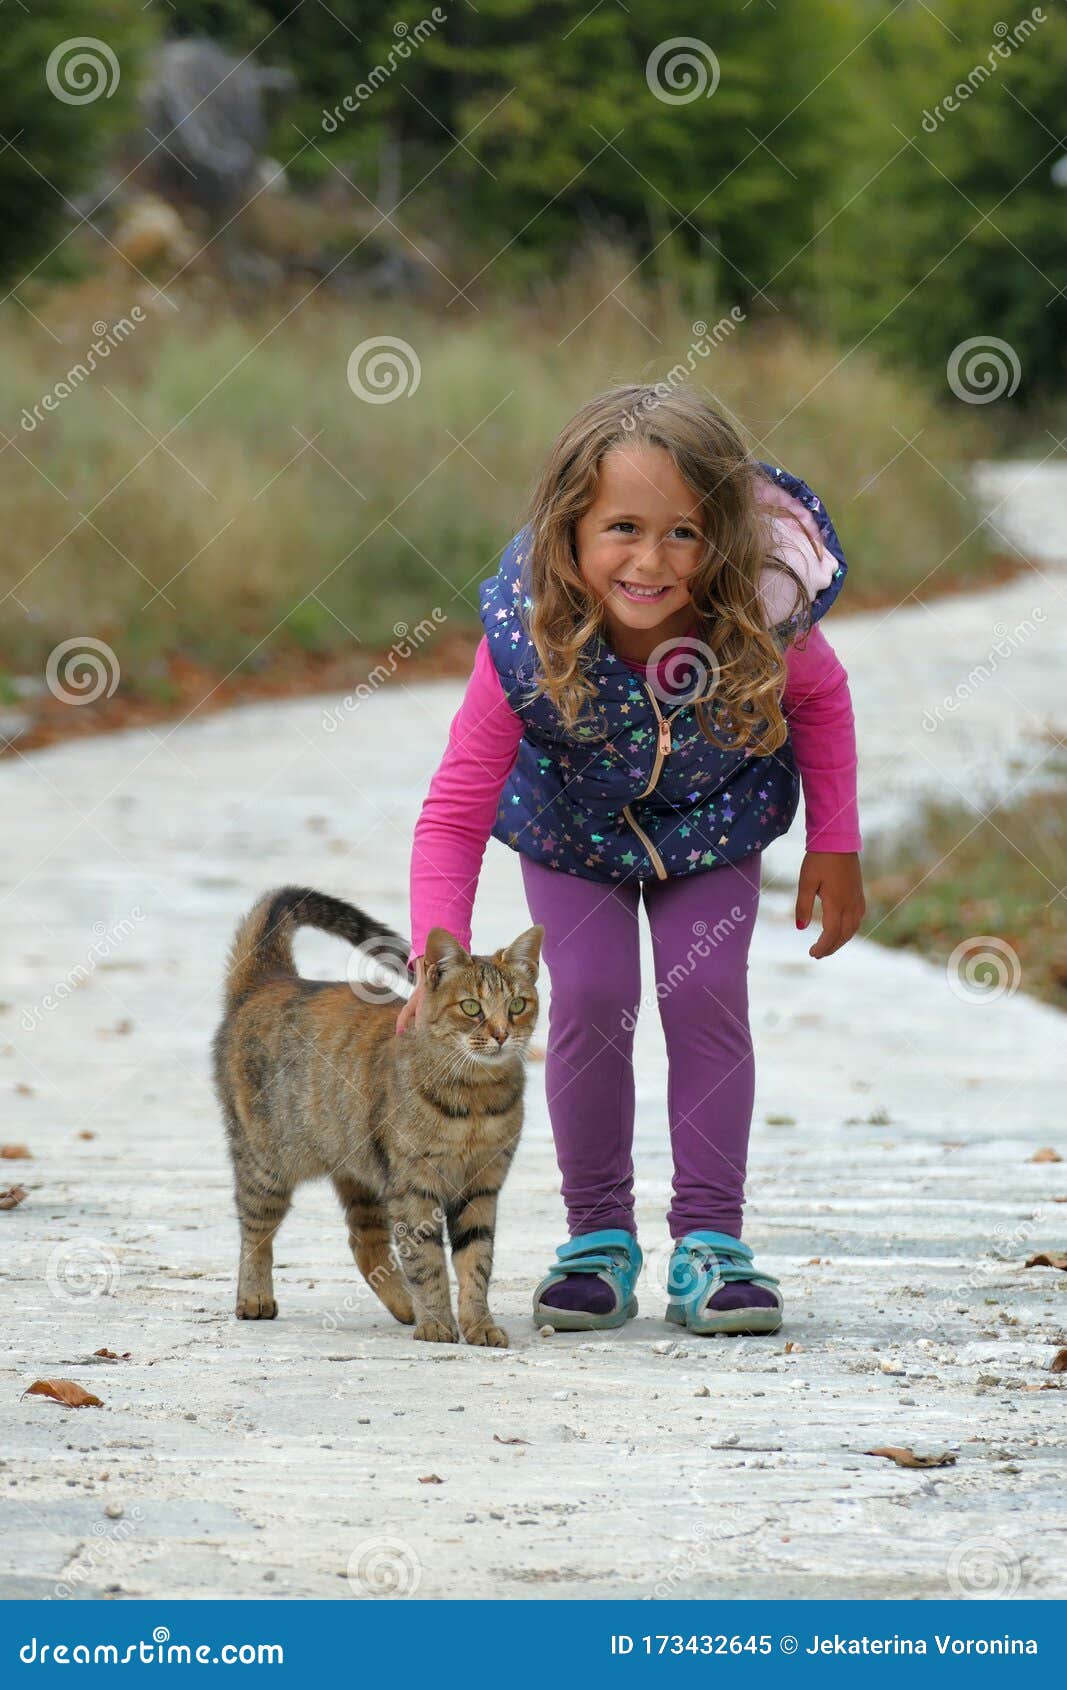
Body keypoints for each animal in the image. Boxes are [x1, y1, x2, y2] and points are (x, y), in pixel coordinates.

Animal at [213, 885, 541, 1345]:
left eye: (517, 1005)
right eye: (471, 1007)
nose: (501, 1034)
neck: (475, 1097)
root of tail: (271, 979)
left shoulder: (481, 1186)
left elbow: (475, 1262)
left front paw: (478, 1325)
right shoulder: (414, 1186)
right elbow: (427, 1262)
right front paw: (437, 1323)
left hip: (360, 1173)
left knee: (362, 1242)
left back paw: (405, 1307)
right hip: (266, 1163)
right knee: (254, 1230)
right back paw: (255, 1297)